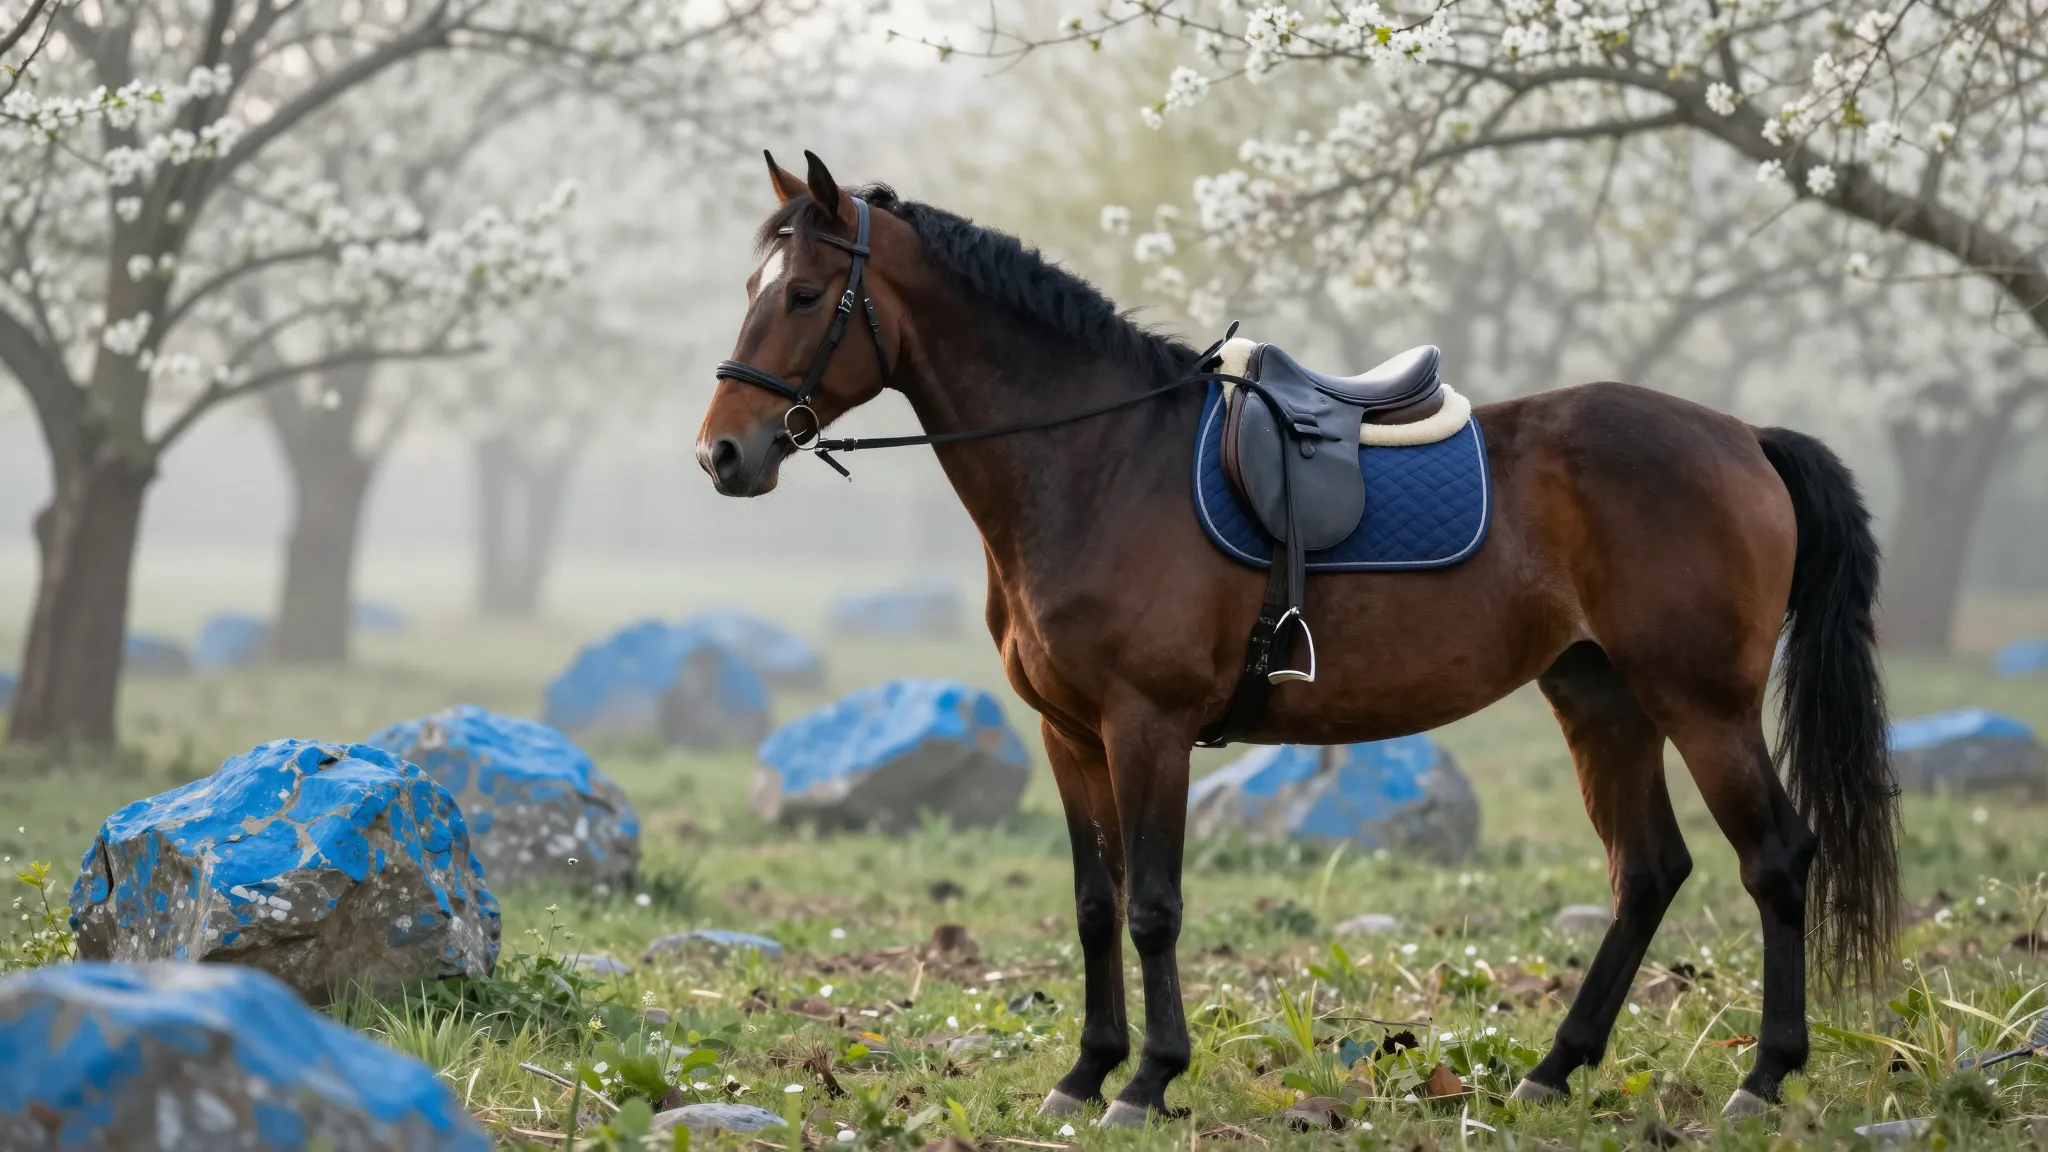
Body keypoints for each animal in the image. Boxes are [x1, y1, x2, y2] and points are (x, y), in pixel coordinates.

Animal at [696, 152, 1899, 1127]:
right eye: (749, 289)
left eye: (804, 293)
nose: (722, 454)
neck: (1097, 463)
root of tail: (1741, 435)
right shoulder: (1069, 737)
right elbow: (1093, 907)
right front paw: (1085, 1073)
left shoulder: (1146, 728)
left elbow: (1152, 906)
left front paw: (1148, 1081)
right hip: (1598, 697)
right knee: (1646, 871)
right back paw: (1555, 1069)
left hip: (1699, 703)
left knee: (1774, 858)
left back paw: (1762, 1076)